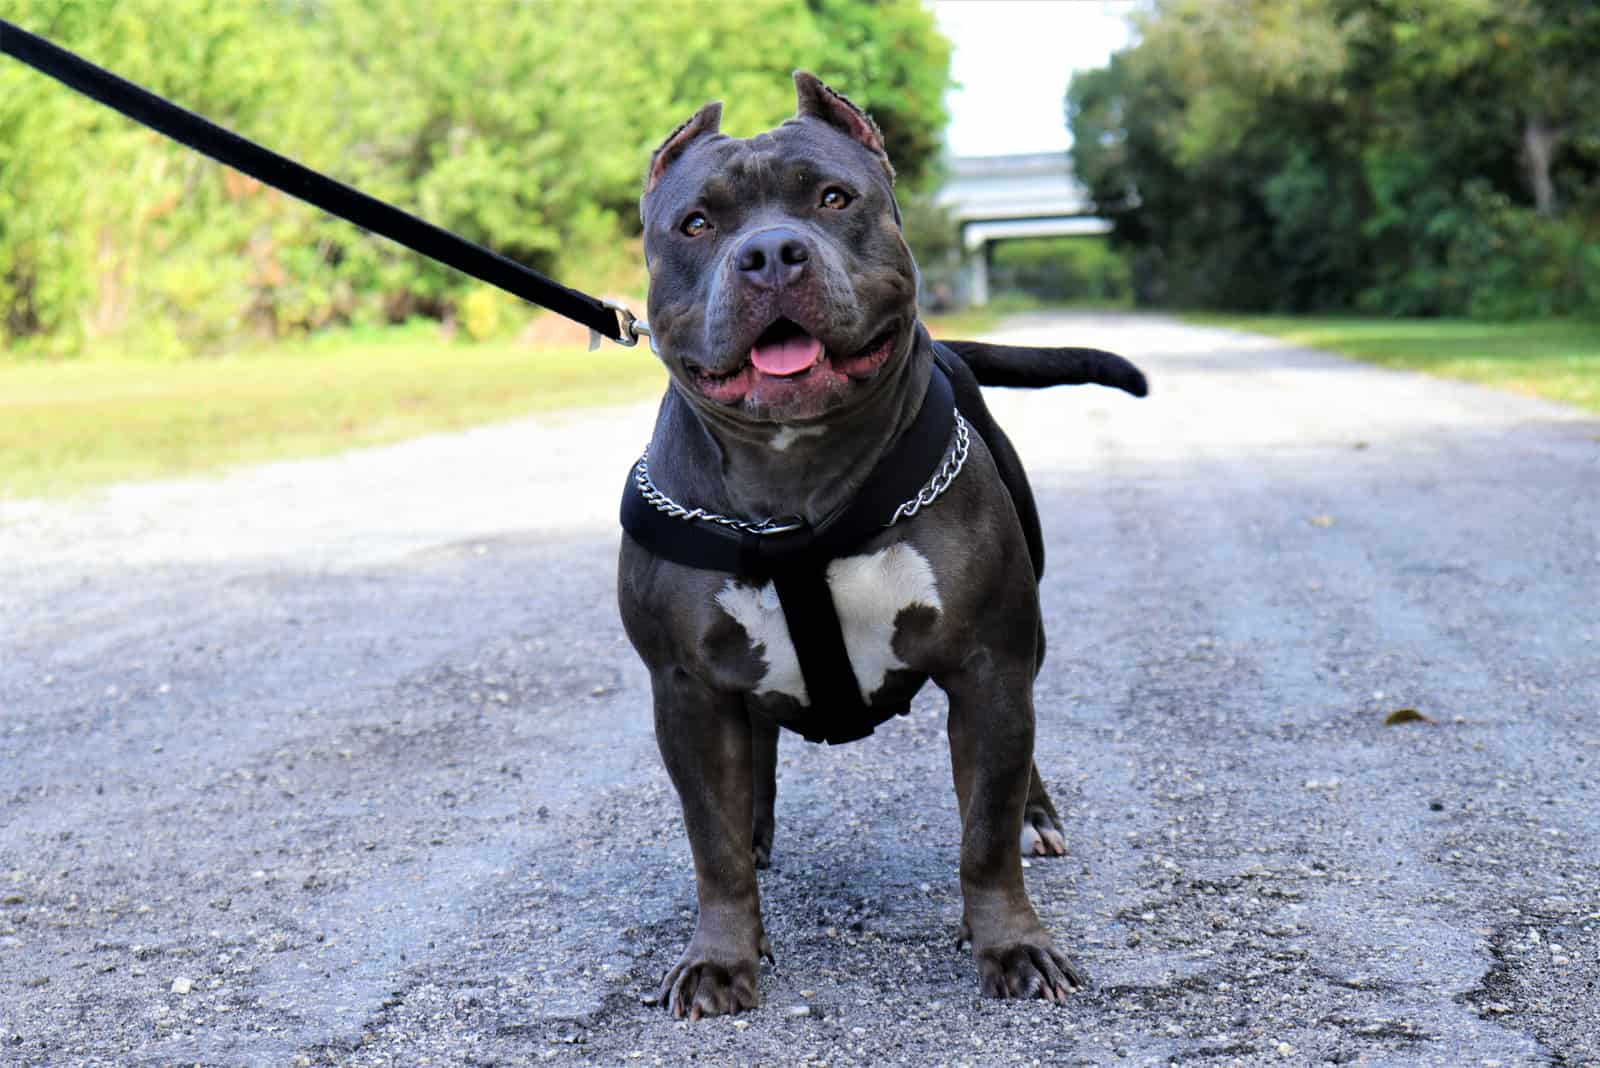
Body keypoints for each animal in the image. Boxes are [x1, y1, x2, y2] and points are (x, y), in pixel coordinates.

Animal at [614, 70, 1152, 1023]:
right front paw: (720, 957)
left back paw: (1037, 817)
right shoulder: (683, 688)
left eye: (834, 199)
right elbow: (711, 845)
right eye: (698, 223)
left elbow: (984, 834)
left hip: (1030, 642)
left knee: (1018, 770)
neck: (796, 487)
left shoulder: (988, 667)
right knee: (754, 746)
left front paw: (1011, 943)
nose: (771, 253)